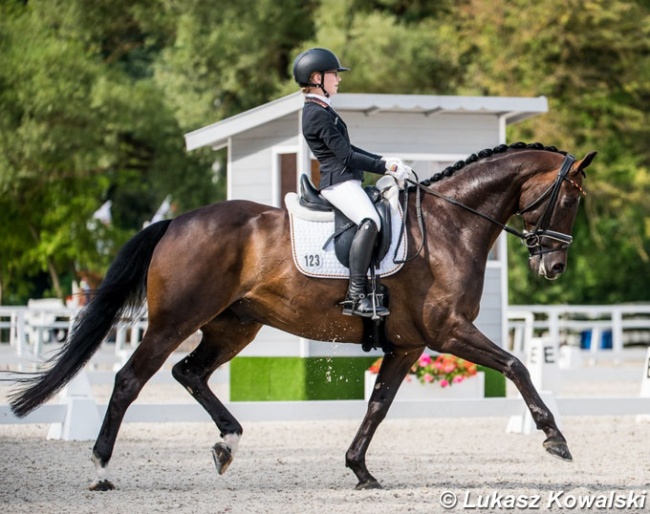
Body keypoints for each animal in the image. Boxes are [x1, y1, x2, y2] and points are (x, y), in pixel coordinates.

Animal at [10, 140, 596, 488]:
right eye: (570, 200)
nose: (553, 266)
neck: (451, 225)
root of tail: (176, 222)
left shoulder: (409, 344)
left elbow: (379, 405)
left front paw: (360, 469)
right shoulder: (448, 331)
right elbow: (517, 365)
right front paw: (555, 439)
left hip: (233, 326)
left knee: (188, 372)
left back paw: (227, 443)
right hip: (175, 320)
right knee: (131, 379)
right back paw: (100, 467)